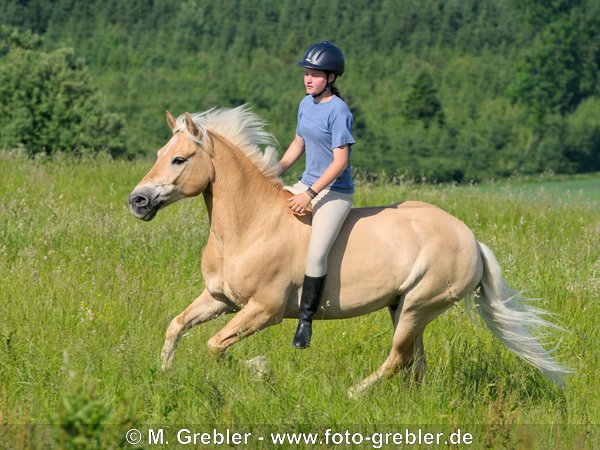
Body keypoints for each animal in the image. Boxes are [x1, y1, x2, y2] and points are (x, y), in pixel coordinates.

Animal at [126, 105, 568, 398]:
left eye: (179, 159)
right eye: (159, 155)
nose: (138, 201)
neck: (250, 227)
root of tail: (472, 240)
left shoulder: (264, 310)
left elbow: (215, 346)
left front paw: (261, 370)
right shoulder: (221, 299)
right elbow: (177, 326)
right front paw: (164, 376)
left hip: (418, 306)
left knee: (398, 358)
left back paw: (353, 394)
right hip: (404, 307)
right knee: (416, 362)